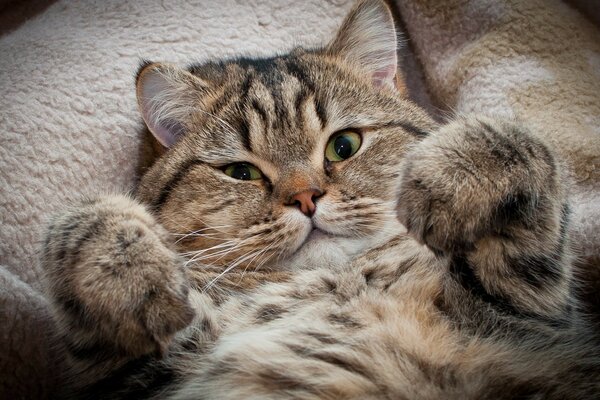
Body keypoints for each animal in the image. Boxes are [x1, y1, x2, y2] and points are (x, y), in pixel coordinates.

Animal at [42, 0, 600, 398]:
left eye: (344, 145)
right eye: (241, 172)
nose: (307, 198)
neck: (337, 281)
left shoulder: (531, 320)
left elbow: (518, 144)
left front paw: (449, 174)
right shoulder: (132, 378)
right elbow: (79, 226)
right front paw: (126, 273)